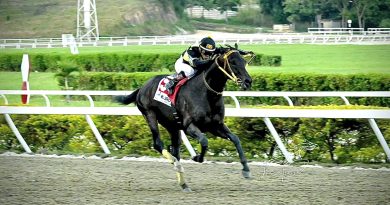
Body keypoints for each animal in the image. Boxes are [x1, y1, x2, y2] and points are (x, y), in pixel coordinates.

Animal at [116, 47, 254, 191]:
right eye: (232, 62)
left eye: (244, 61)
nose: (248, 81)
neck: (206, 93)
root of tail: (142, 88)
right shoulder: (189, 126)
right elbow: (204, 141)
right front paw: (197, 157)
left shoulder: (216, 126)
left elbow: (236, 139)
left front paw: (246, 170)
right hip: (150, 115)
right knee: (158, 144)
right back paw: (175, 163)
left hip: (172, 126)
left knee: (175, 149)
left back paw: (183, 182)